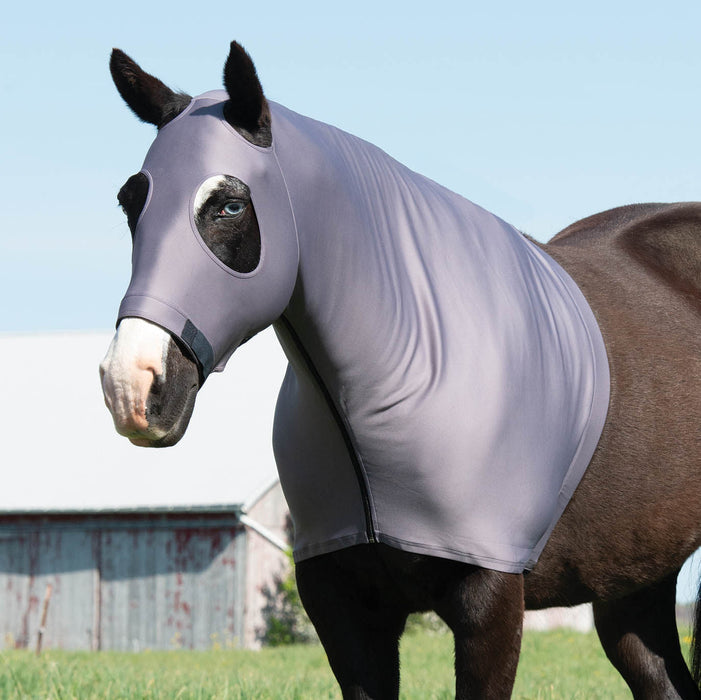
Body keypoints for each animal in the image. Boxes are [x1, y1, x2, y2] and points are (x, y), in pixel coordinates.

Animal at [100, 41, 701, 699]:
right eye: (131, 203)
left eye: (229, 204)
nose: (132, 384)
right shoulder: (345, 608)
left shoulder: (489, 602)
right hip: (634, 587)